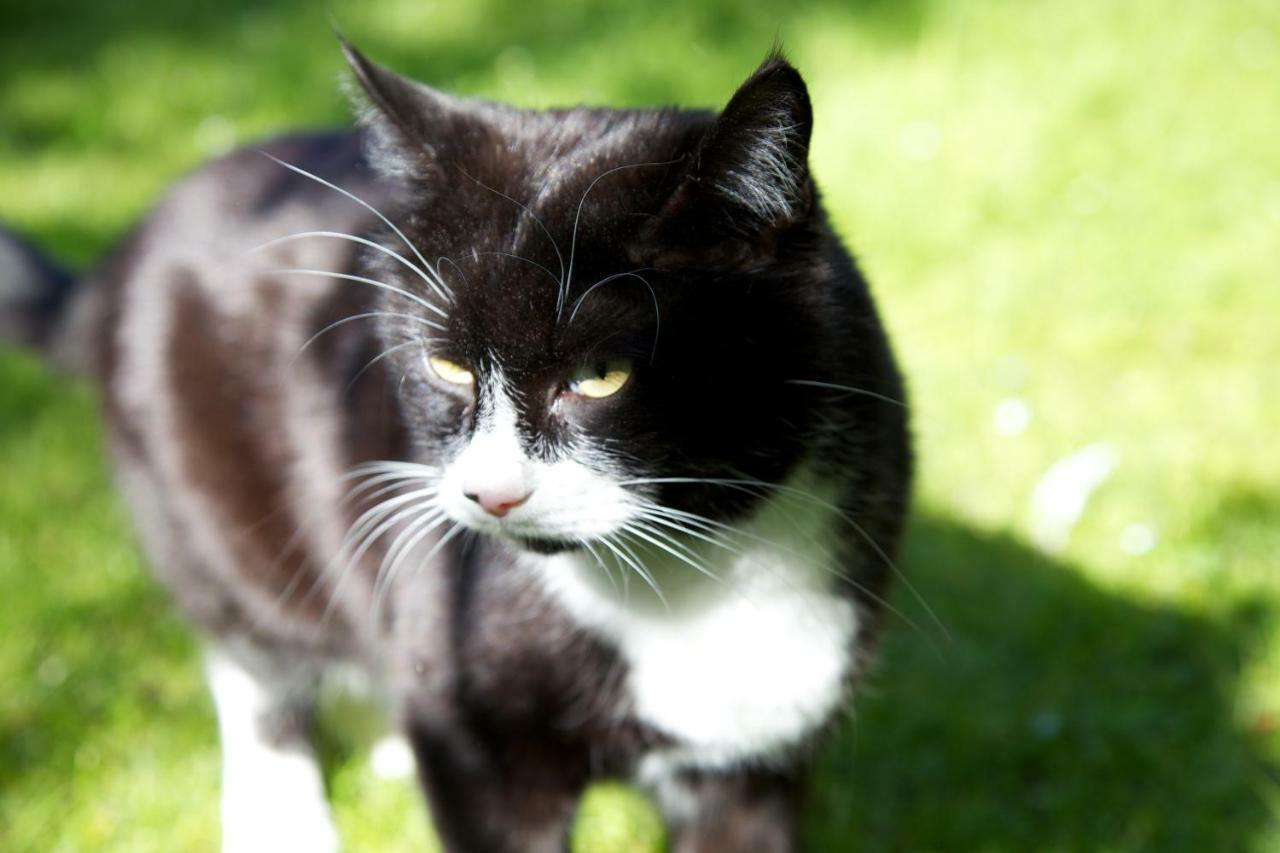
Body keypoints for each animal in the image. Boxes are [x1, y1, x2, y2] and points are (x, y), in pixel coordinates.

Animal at [0, 36, 911, 845]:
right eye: (445, 365)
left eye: (602, 374)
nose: (490, 491)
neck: (695, 580)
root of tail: (123, 250)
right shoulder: (479, 738)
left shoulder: (762, 751)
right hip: (206, 506)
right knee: (251, 650)